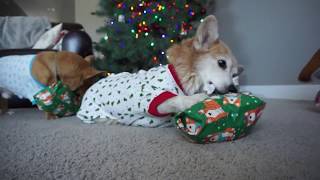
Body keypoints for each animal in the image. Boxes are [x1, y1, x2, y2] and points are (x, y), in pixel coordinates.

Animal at [77, 15, 242, 127]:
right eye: (222, 63)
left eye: (234, 74)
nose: (234, 89)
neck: (183, 76)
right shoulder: (150, 97)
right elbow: (176, 99)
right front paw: (197, 98)